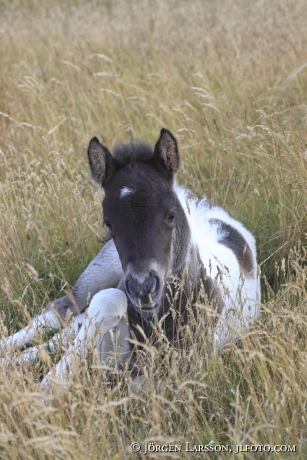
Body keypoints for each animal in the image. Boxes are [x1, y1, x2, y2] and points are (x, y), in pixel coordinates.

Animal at [3, 127, 262, 386]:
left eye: (171, 215)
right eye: (108, 222)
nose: (142, 287)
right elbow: (104, 305)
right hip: (96, 276)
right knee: (59, 312)